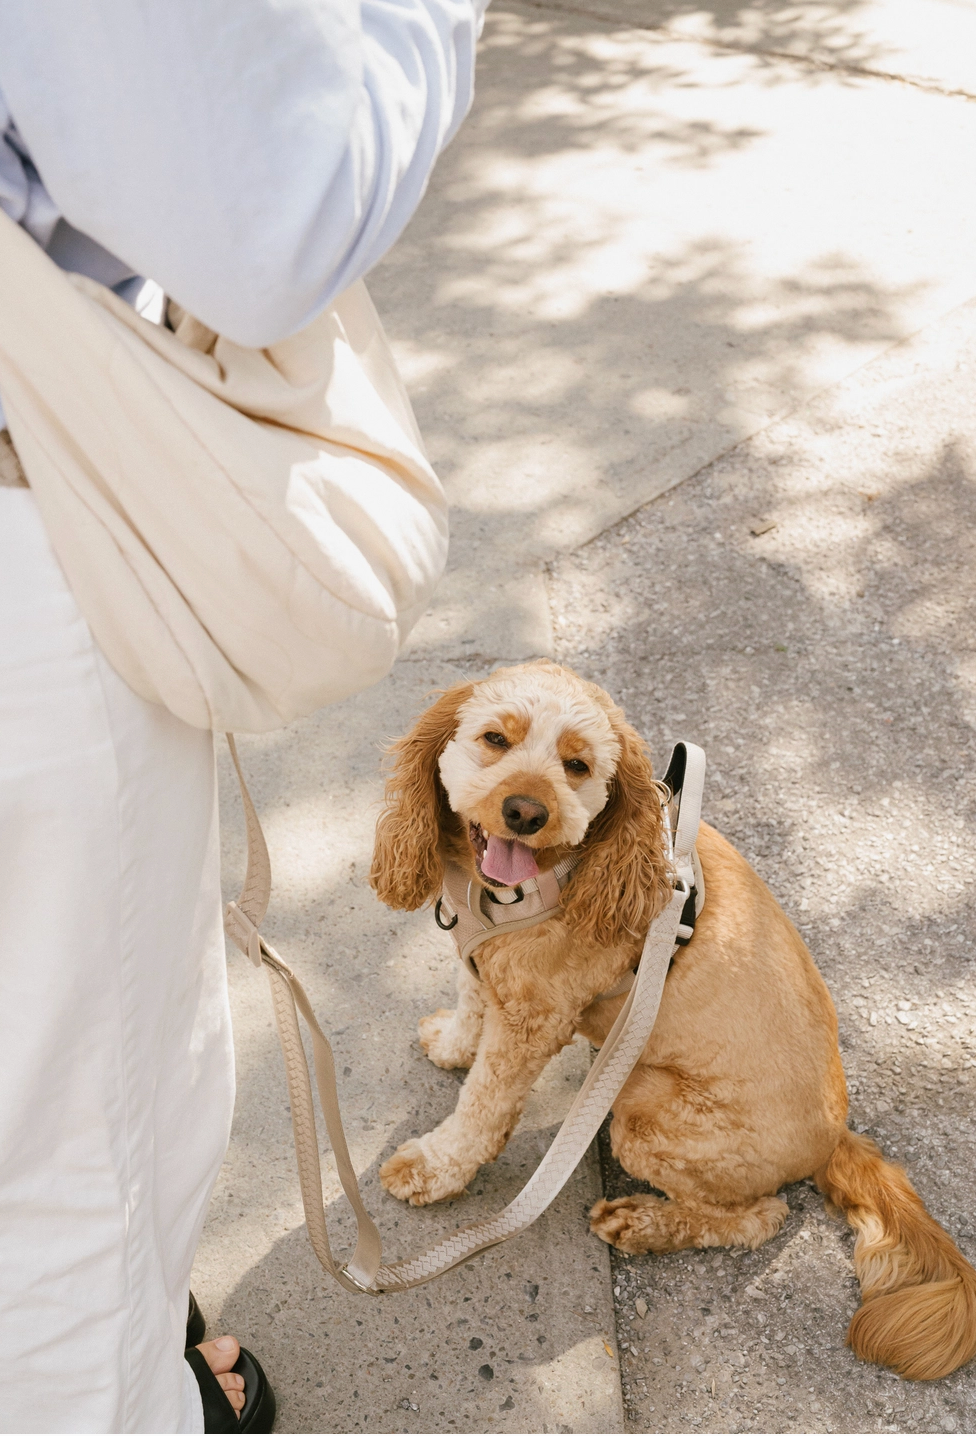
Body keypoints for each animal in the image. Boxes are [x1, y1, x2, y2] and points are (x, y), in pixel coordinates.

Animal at [367, 660, 976, 1378]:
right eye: (495, 738)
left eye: (577, 765)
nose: (526, 811)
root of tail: (837, 1138)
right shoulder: (484, 963)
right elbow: (470, 999)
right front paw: (452, 1042)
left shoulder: (533, 1020)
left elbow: (481, 1110)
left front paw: (433, 1169)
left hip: (641, 1111)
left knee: (760, 1216)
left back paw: (643, 1223)